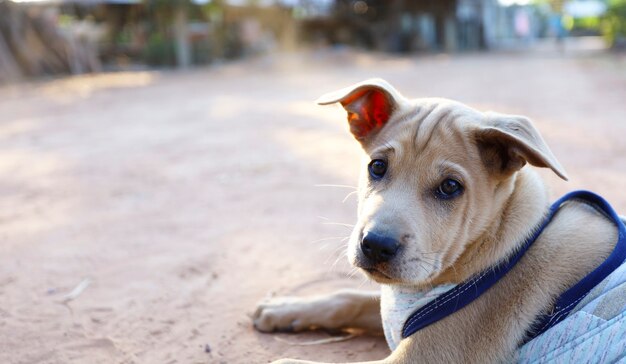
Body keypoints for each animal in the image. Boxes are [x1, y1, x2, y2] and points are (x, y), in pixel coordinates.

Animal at [251, 79, 616, 364]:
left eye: (450, 187)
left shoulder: (427, 354)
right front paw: (282, 309)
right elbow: (347, 297)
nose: (375, 245)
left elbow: (290, 360)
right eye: (377, 167)